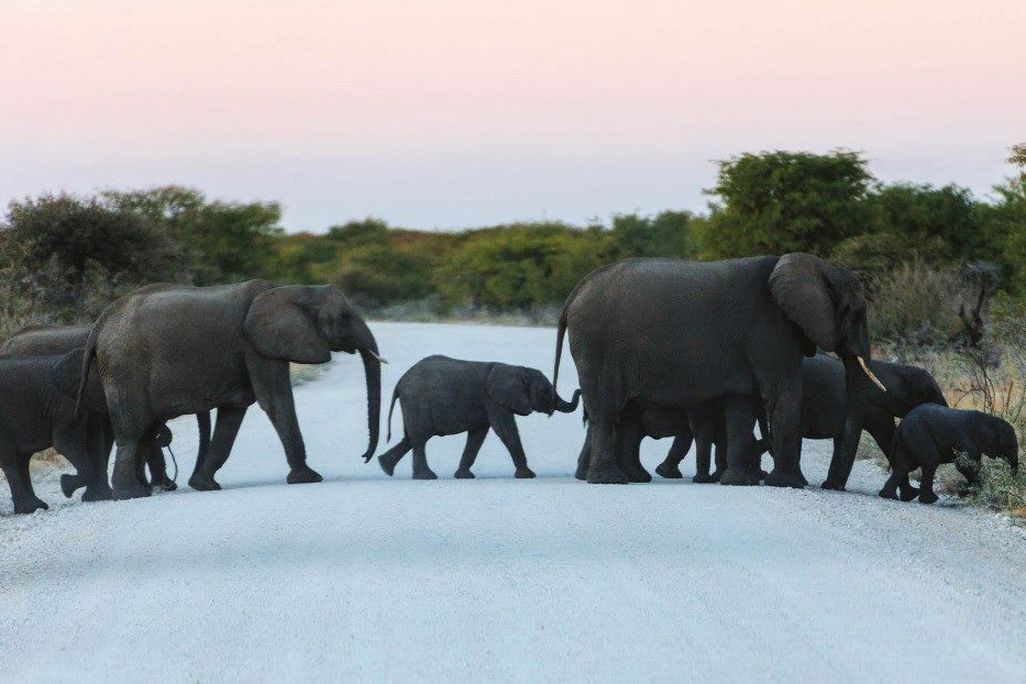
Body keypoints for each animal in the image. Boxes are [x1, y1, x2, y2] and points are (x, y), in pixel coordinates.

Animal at [76, 280, 383, 500]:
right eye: (343, 317)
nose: (365, 457)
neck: (291, 290)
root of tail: (102, 321)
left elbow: (235, 411)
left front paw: (204, 485)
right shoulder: (257, 345)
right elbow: (275, 400)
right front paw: (310, 478)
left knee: (146, 431)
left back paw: (143, 491)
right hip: (124, 367)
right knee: (132, 430)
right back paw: (130, 495)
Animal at [377, 355, 581, 479]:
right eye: (547, 392)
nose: (580, 389)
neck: (517, 370)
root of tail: (399, 382)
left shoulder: (488, 404)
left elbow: (478, 436)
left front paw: (464, 477)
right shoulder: (494, 400)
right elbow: (506, 431)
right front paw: (528, 476)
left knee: (410, 438)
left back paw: (385, 467)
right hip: (417, 403)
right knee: (420, 438)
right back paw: (427, 477)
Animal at [553, 254, 885, 487]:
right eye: (857, 313)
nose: (831, 487)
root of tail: (575, 292)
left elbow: (743, 404)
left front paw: (741, 482)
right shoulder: (771, 330)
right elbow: (783, 394)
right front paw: (787, 484)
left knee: (625, 413)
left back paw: (633, 477)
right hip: (596, 344)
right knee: (606, 408)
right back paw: (609, 480)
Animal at [880, 404, 1018, 504]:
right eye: (1010, 446)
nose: (1011, 483)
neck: (986, 419)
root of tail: (900, 426)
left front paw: (967, 492)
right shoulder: (963, 439)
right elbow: (964, 466)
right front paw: (971, 492)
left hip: (908, 439)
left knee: (905, 465)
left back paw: (890, 496)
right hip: (918, 435)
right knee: (930, 461)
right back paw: (929, 500)